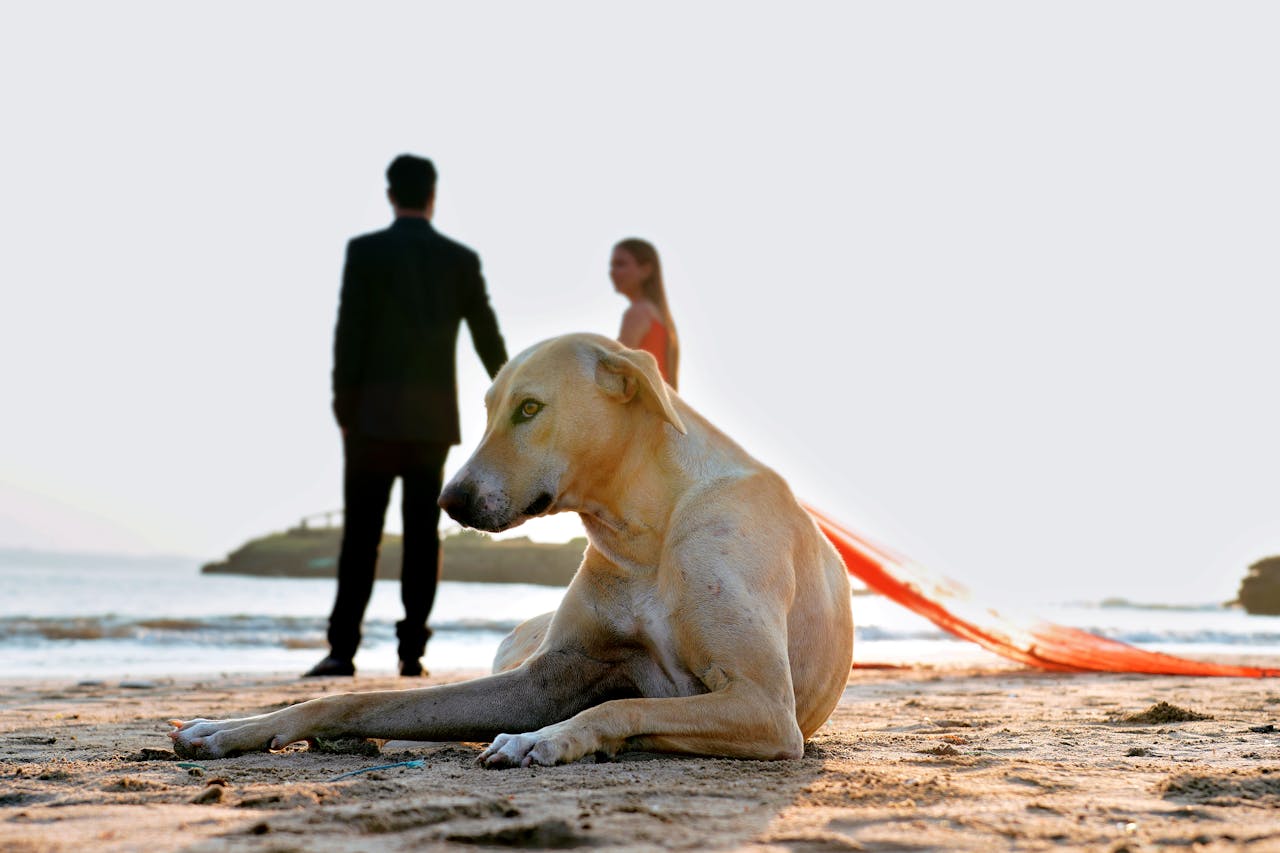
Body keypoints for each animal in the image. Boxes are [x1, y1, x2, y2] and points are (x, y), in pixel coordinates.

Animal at [167, 333, 849, 763]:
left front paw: (545, 740)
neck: (647, 527)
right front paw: (233, 727)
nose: (450, 501)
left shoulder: (765, 705)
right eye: (491, 407)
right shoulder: (541, 682)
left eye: (529, 408)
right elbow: (365, 697)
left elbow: (619, 706)